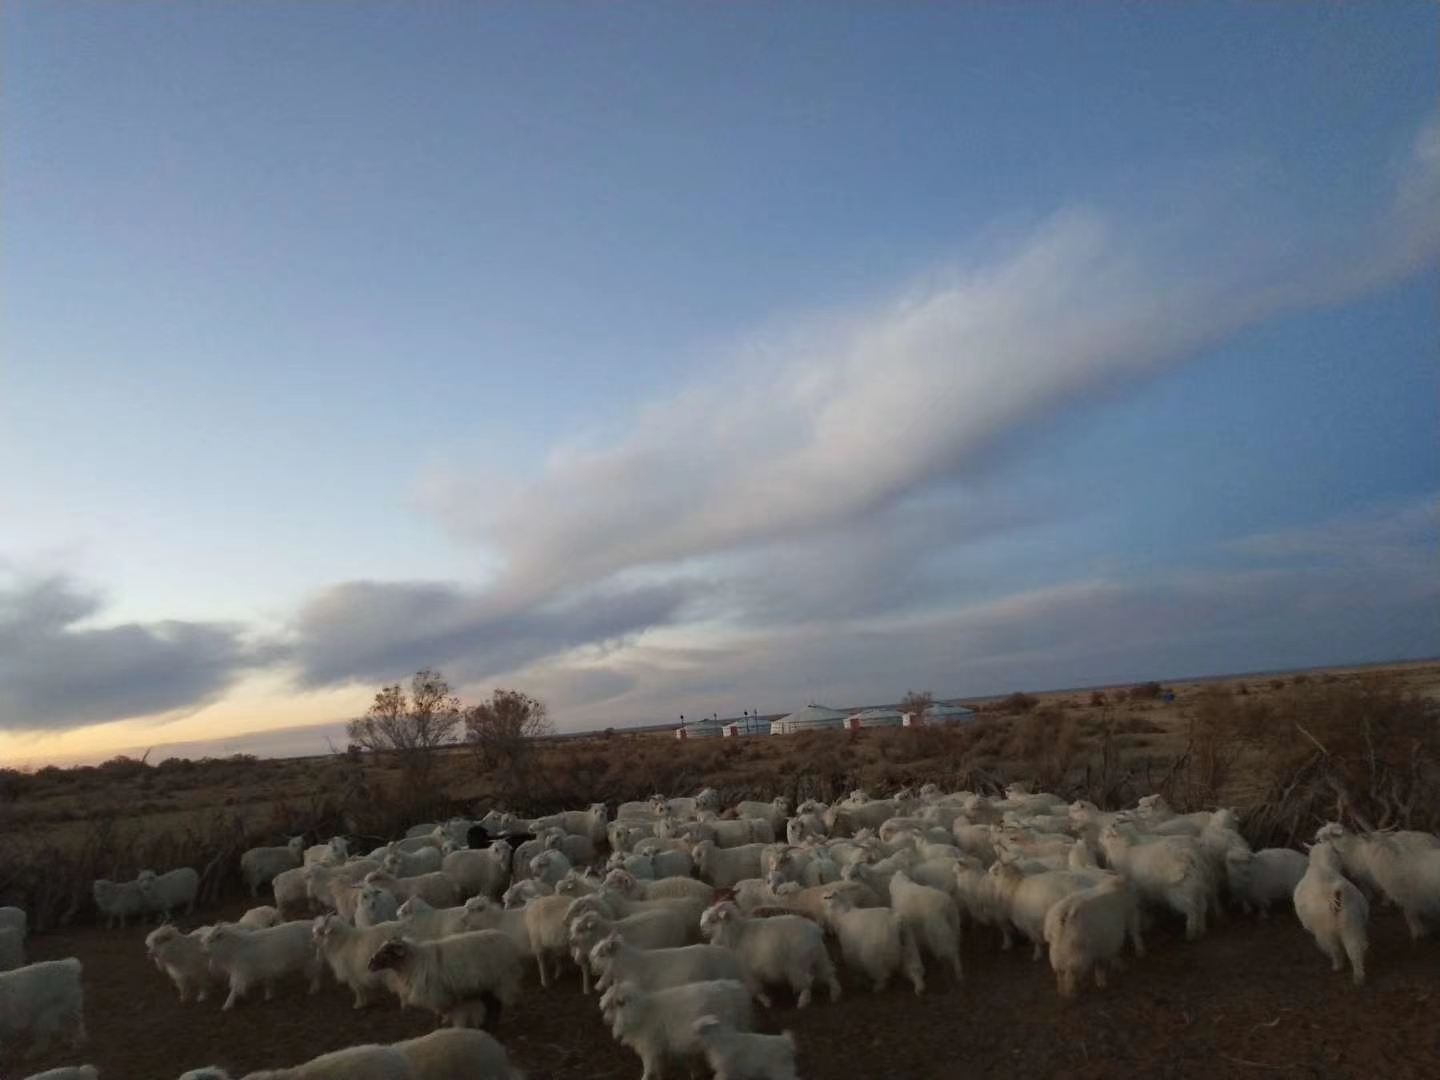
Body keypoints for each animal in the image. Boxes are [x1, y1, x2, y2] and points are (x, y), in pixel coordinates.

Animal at [368, 933, 527, 1031]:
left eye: (387, 951)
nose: (370, 964)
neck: (415, 961)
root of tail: (509, 942)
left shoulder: (437, 995)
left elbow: (438, 1015)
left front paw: (438, 1029)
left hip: (501, 980)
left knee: (496, 1005)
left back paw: (491, 1027)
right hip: (488, 983)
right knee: (492, 1004)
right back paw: (487, 1027)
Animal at [601, 979, 754, 1080]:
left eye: (614, 1005)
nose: (604, 1020)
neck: (643, 1012)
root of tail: (736, 989)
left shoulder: (650, 1046)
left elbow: (648, 1068)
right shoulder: (658, 1048)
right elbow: (659, 1068)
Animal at [1301, 846, 1365, 990]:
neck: (1322, 865)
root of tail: (1334, 893)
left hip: (1326, 930)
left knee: (1334, 948)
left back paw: (1337, 966)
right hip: (1351, 924)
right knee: (1355, 949)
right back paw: (1359, 977)